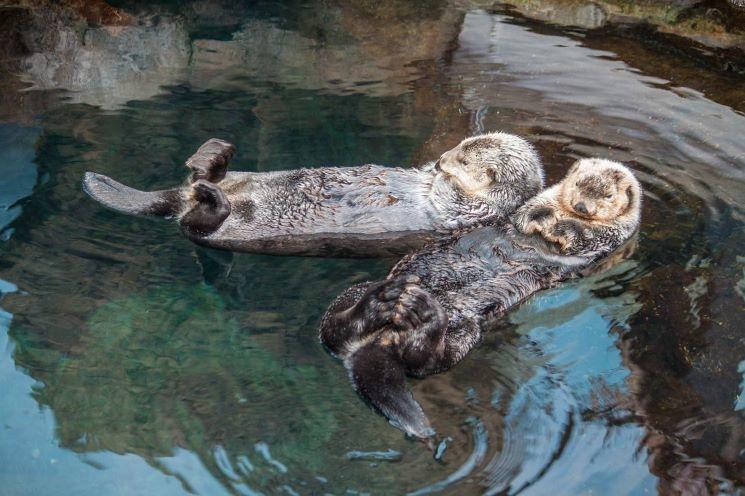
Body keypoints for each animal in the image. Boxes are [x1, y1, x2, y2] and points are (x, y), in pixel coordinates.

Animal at [83, 133, 544, 257]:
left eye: (465, 158)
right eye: (464, 144)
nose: (445, 157)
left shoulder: (470, 212)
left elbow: (452, 201)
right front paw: (429, 167)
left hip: (217, 231)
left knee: (196, 225)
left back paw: (212, 194)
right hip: (236, 178)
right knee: (199, 182)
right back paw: (212, 157)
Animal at [318, 159, 642, 440]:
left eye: (607, 195)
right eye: (578, 184)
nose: (581, 206)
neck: (565, 213)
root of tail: (379, 342)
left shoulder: (609, 239)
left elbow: (582, 237)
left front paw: (562, 228)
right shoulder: (539, 201)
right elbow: (528, 211)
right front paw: (539, 218)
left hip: (465, 332)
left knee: (425, 361)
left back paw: (424, 313)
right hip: (362, 291)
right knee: (334, 329)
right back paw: (383, 301)